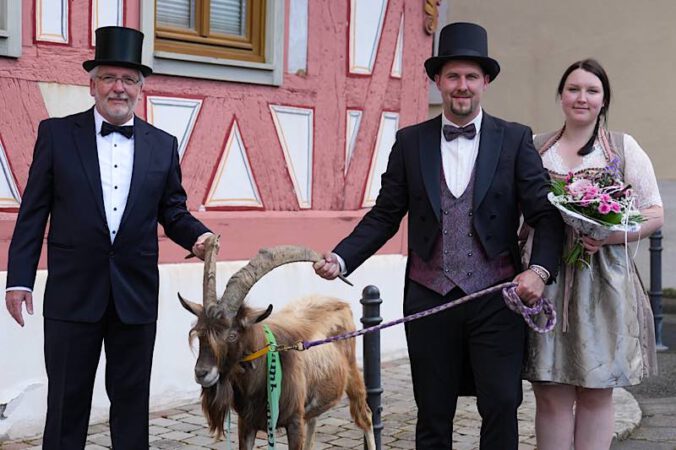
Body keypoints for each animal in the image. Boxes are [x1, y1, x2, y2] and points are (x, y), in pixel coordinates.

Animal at [177, 236, 378, 450]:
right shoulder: (246, 423)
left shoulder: (294, 421)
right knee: (314, 421)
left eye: (232, 335)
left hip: (353, 374)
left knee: (366, 416)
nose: (202, 373)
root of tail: (340, 303)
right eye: (200, 334)